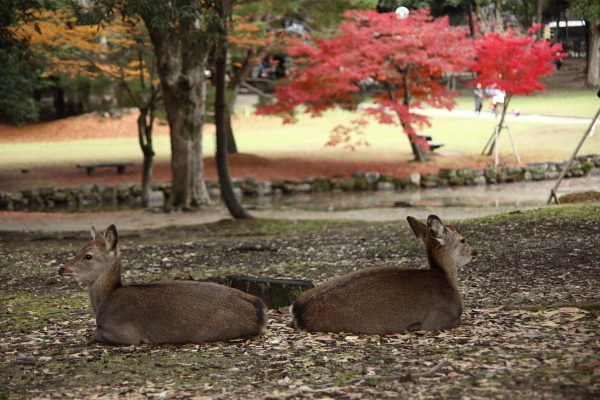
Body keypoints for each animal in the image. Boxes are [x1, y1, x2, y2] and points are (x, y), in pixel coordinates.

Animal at [59, 225, 266, 344]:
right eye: (79, 250)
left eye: (88, 256)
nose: (61, 269)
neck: (104, 301)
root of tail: (260, 310)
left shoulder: (124, 332)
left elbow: (95, 332)